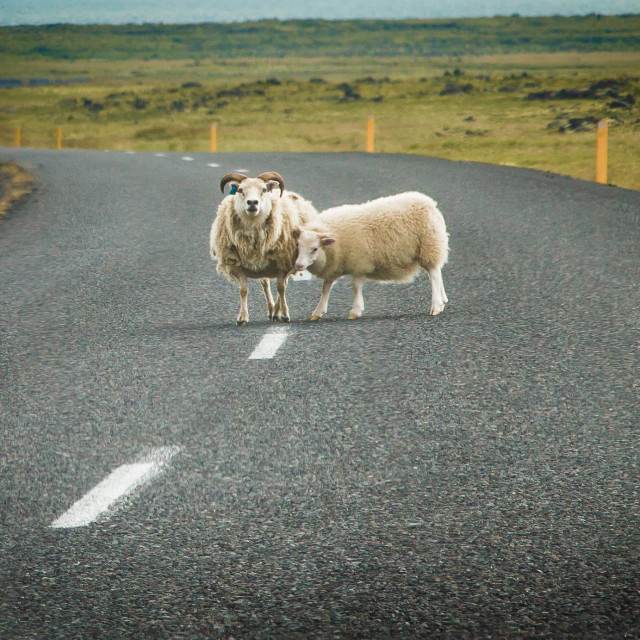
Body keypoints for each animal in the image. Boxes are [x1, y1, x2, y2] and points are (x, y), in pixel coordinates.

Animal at [210, 171, 318, 324]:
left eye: (264, 190)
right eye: (240, 190)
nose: (252, 202)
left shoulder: (282, 264)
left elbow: (281, 288)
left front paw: (284, 314)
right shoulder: (238, 265)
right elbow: (243, 290)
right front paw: (242, 317)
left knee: (283, 285)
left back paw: (277, 312)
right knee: (265, 284)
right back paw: (272, 310)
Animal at [292, 190, 448, 320]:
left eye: (315, 249)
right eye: (298, 245)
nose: (298, 265)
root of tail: (430, 203)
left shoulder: (361, 262)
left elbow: (355, 286)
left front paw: (356, 311)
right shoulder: (335, 266)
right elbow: (326, 288)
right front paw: (318, 312)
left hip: (429, 245)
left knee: (434, 274)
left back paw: (436, 306)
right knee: (437, 271)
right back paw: (443, 300)